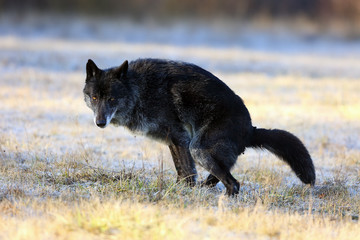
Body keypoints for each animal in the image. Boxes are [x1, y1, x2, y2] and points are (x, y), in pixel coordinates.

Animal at [83, 58, 316, 195]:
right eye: (94, 98)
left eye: (112, 99)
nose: (100, 123)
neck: (139, 90)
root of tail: (251, 129)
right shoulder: (173, 140)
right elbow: (182, 171)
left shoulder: (180, 139)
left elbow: (187, 172)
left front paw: (186, 193)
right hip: (204, 151)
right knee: (221, 176)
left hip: (198, 148)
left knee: (233, 183)